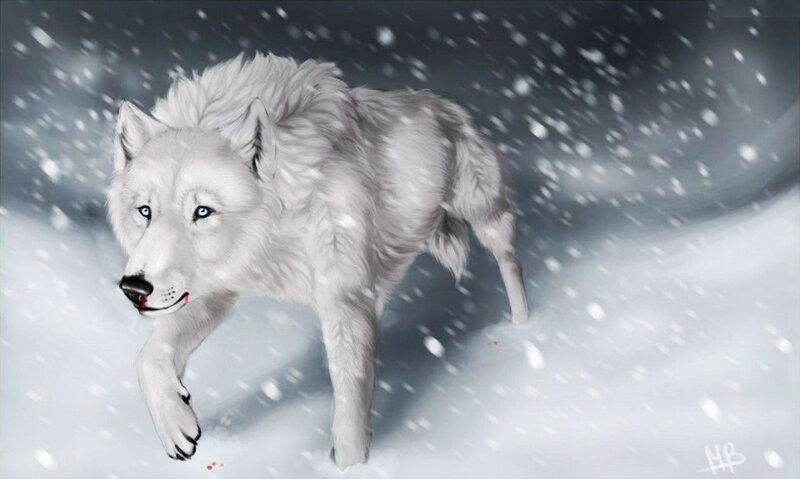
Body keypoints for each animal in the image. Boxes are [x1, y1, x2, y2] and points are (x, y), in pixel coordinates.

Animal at [107, 52, 528, 470]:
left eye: (203, 211)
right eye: (145, 211)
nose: (133, 287)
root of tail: (447, 105)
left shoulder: (347, 303)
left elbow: (350, 408)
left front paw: (351, 468)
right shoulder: (218, 288)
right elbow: (148, 359)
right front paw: (177, 427)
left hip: (486, 215)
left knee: (511, 262)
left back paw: (523, 327)